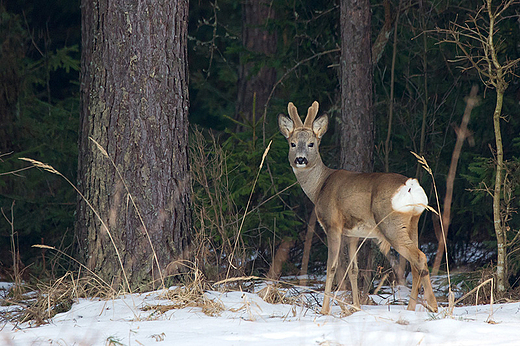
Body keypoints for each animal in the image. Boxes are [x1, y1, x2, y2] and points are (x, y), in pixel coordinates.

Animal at [278, 100, 436, 314]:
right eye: (292, 143)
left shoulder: (333, 224)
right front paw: (356, 306)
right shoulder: (354, 233)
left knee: (419, 257)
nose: (300, 159)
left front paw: (325, 310)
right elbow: (354, 269)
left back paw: (430, 306)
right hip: (413, 223)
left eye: (311, 143)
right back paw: (416, 308)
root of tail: (411, 186)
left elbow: (332, 267)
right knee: (415, 263)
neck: (319, 186)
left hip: (391, 224)